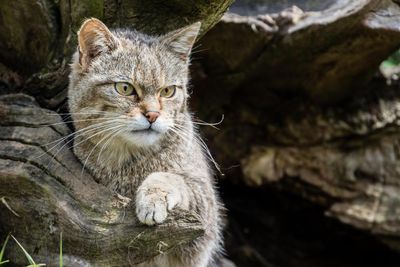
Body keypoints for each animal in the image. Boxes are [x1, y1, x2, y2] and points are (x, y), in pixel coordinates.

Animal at [67, 18, 223, 267]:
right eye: (125, 88)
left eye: (167, 91)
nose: (153, 115)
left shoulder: (206, 213)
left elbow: (170, 177)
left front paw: (153, 196)